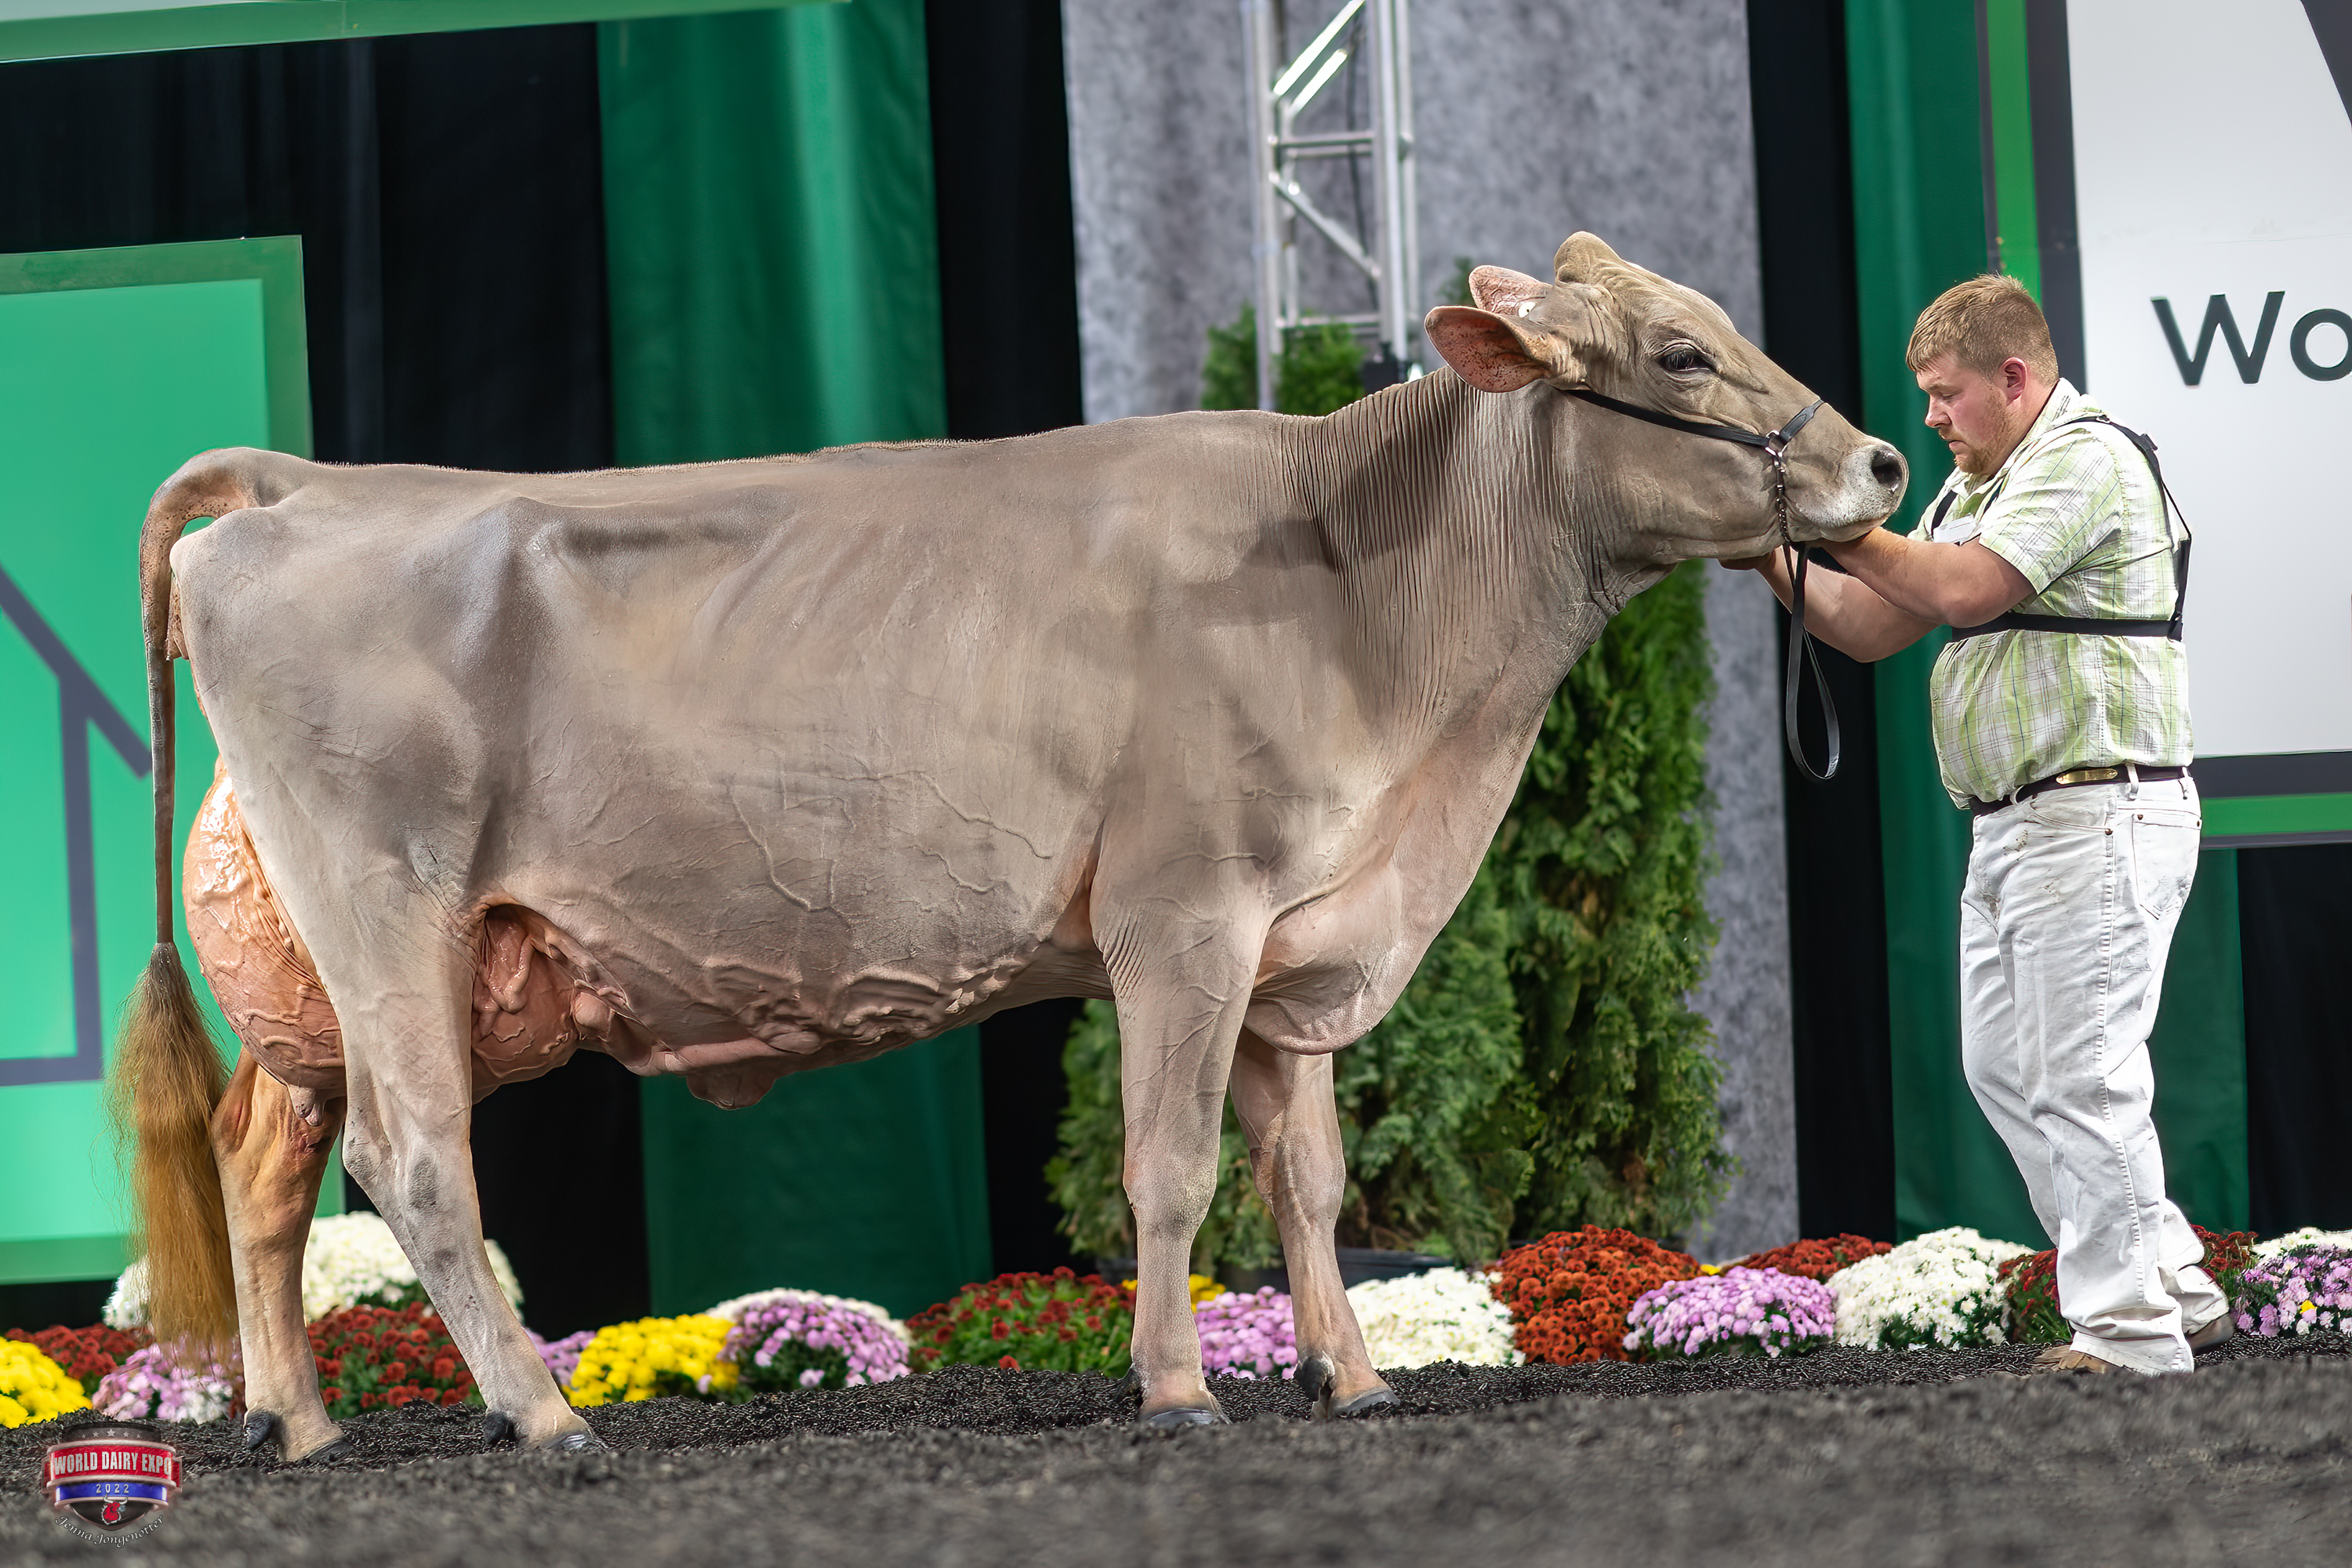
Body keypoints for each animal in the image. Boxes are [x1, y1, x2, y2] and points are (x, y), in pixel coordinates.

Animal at [110, 233, 1904, 1458]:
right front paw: (1177, 1388)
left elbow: (1312, 1182)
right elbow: (1173, 1172)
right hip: (387, 911)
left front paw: (1356, 1376)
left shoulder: (1296, 943)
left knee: (264, 1163)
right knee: (413, 1159)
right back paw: (547, 1421)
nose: (1878, 459)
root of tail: (311, 485)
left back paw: (298, 1422)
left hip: (329, 970)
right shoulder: (1185, 917)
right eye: (1682, 355)